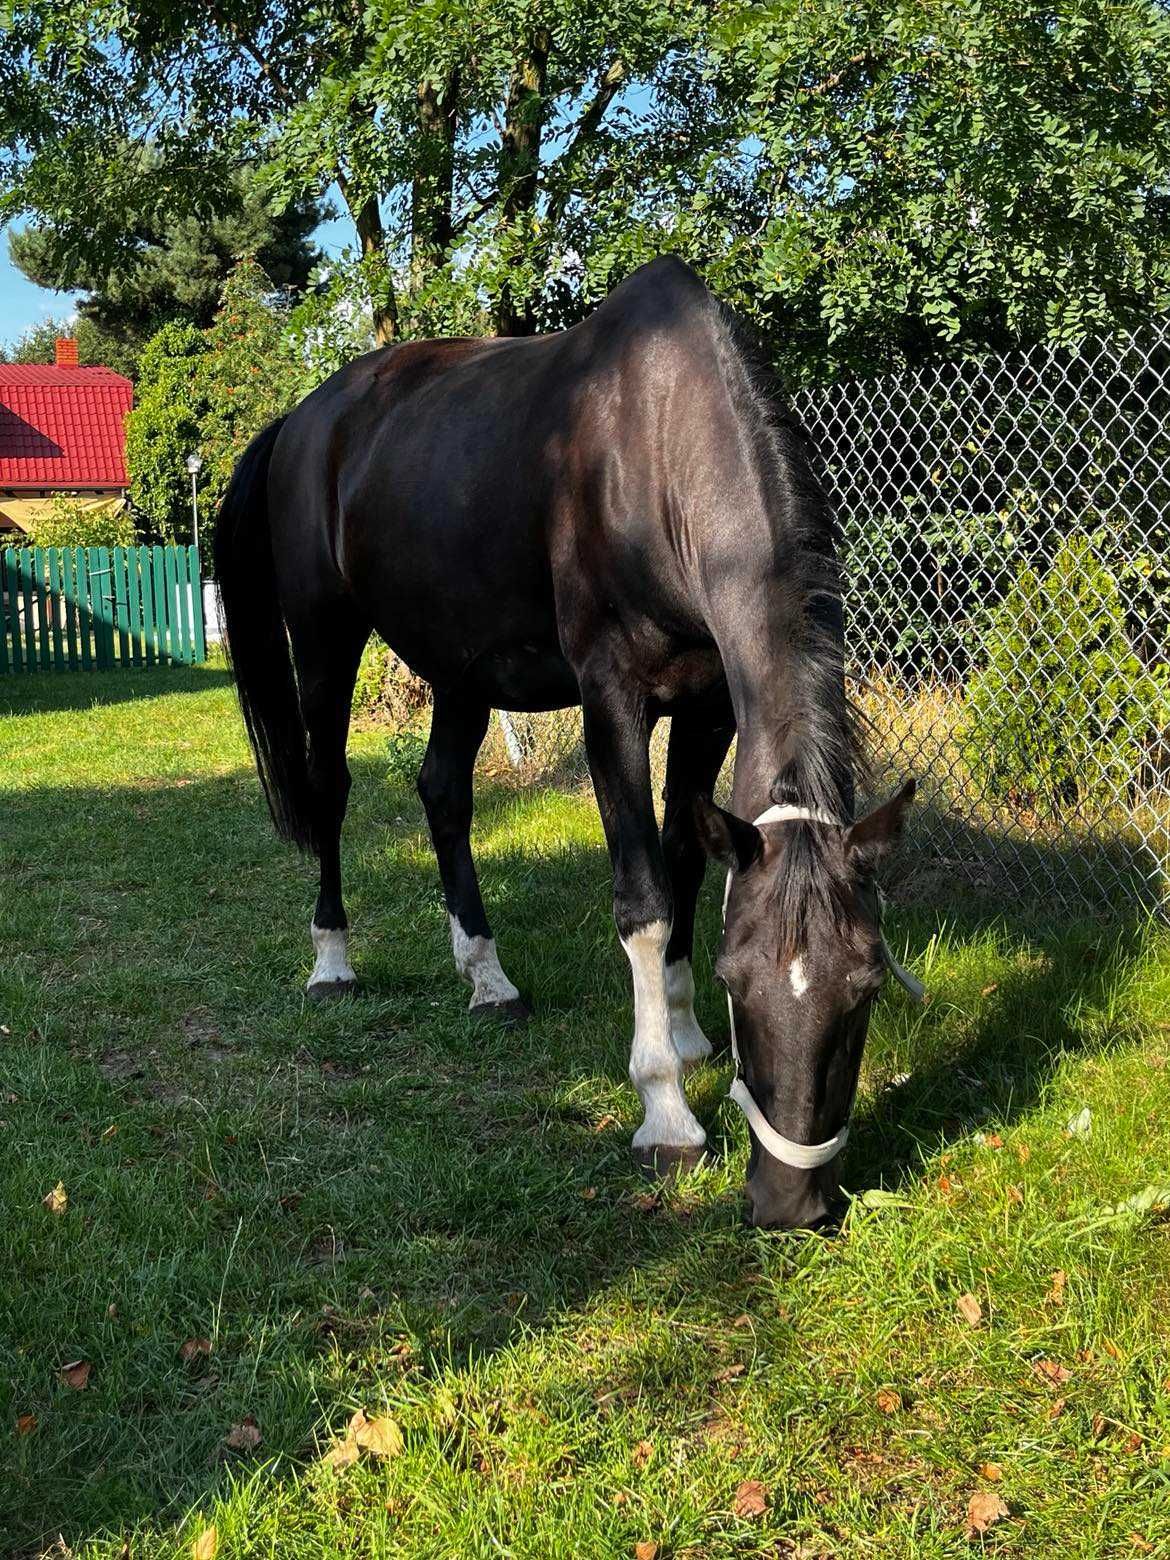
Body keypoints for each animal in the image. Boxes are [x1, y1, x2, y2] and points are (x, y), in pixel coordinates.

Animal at [218, 258, 917, 1229]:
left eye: (867, 985)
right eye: (742, 981)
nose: (787, 1204)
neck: (654, 446)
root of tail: (302, 418)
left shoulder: (708, 708)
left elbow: (686, 859)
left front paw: (685, 1033)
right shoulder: (610, 700)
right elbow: (643, 895)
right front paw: (665, 1109)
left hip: (460, 667)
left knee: (444, 792)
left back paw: (488, 980)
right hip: (324, 640)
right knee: (330, 791)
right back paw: (332, 963)